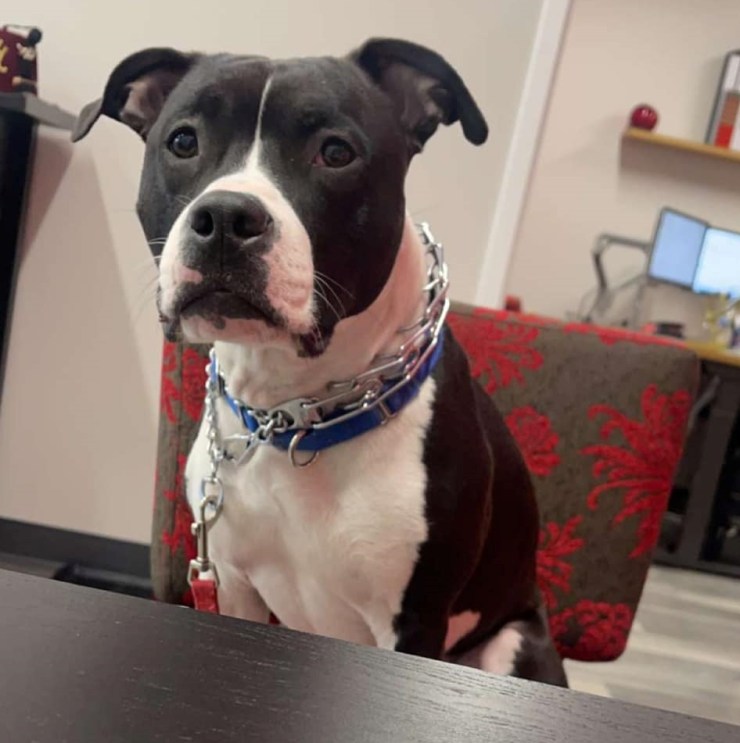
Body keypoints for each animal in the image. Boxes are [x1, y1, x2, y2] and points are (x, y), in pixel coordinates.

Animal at [73, 38, 567, 686]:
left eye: (336, 152)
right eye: (182, 141)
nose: (226, 217)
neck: (293, 413)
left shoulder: (414, 621)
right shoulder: (231, 584)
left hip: (512, 643)